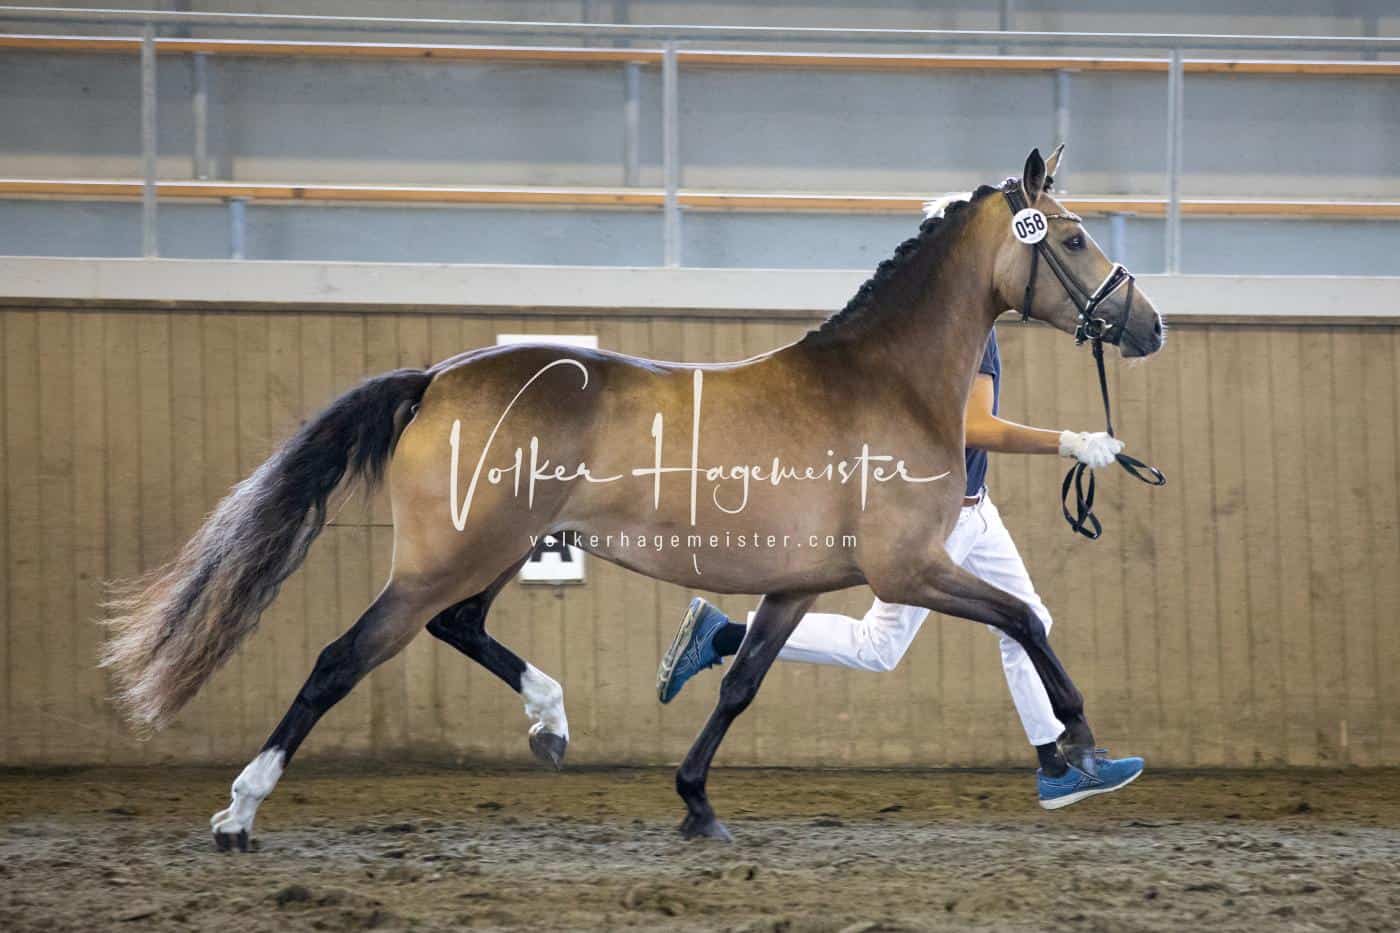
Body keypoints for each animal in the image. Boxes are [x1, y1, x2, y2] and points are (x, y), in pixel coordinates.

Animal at [101, 146, 1165, 850]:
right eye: (1074, 236)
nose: (1147, 325)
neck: (884, 382)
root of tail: (437, 379)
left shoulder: (799, 584)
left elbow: (740, 682)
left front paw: (696, 801)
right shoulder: (911, 570)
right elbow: (1023, 619)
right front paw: (1079, 743)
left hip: (498, 549)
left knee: (460, 628)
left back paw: (551, 721)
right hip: (449, 556)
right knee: (340, 658)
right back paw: (239, 811)